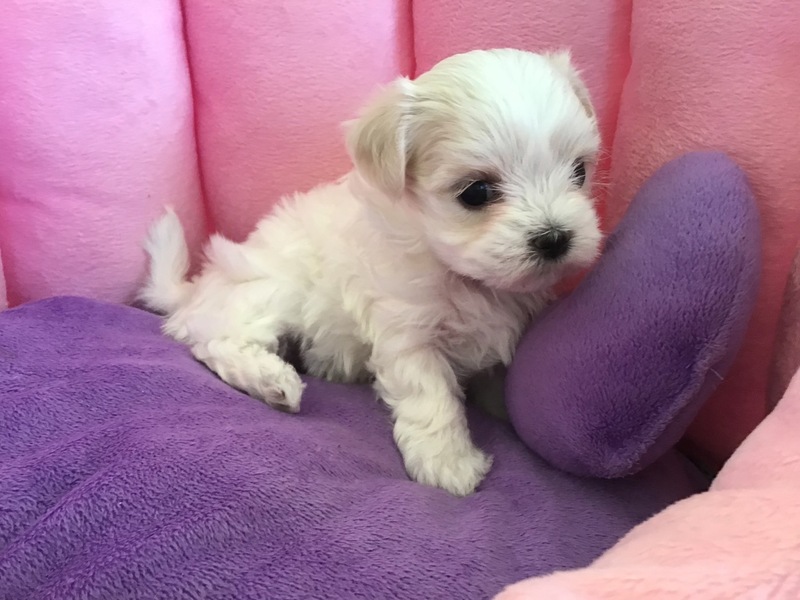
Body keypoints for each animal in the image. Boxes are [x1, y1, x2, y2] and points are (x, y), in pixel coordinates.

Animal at [140, 48, 602, 496]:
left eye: (579, 171)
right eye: (476, 193)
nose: (555, 238)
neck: (463, 277)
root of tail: (197, 290)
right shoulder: (407, 334)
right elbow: (430, 397)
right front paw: (448, 464)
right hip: (269, 291)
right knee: (216, 342)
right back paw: (272, 381)